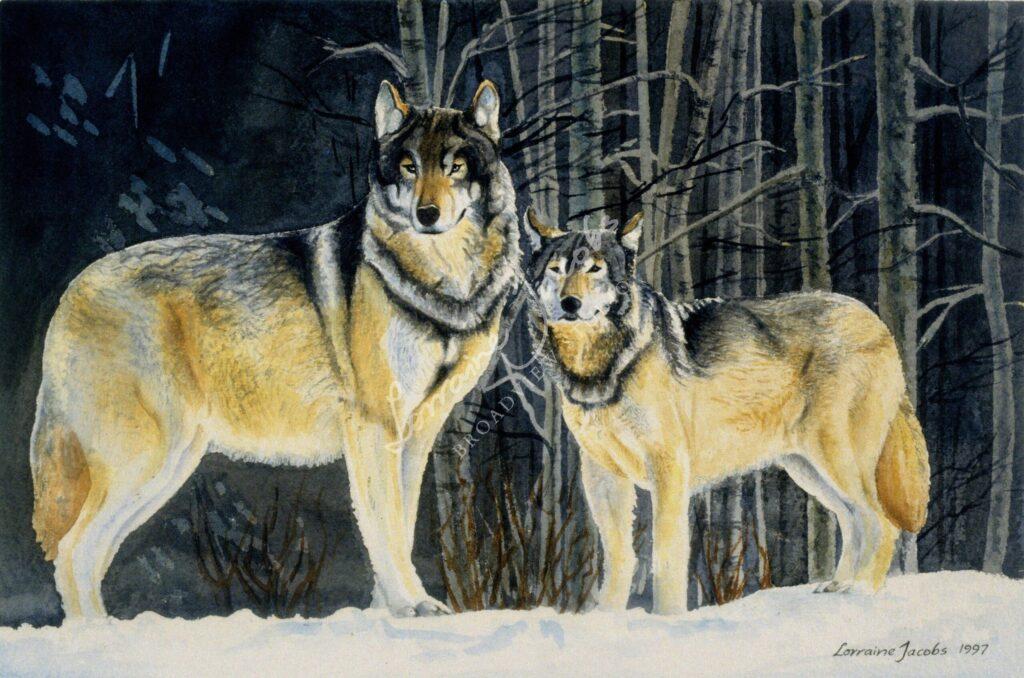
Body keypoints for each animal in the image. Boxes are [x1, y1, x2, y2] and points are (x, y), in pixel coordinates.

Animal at [30, 80, 520, 619]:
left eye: (455, 167)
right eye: (409, 166)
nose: (426, 215)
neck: (442, 290)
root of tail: (72, 290)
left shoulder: (415, 436)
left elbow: (399, 530)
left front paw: (385, 613)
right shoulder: (374, 428)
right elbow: (386, 530)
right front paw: (409, 607)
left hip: (170, 464)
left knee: (89, 555)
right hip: (148, 459)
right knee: (74, 552)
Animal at [523, 208, 929, 614]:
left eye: (595, 269)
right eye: (557, 270)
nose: (570, 303)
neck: (600, 367)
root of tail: (875, 320)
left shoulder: (668, 466)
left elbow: (666, 556)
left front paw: (667, 617)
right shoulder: (602, 473)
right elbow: (619, 557)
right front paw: (606, 617)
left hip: (835, 459)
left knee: (881, 523)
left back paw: (861, 594)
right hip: (808, 470)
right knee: (853, 521)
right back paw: (839, 587)